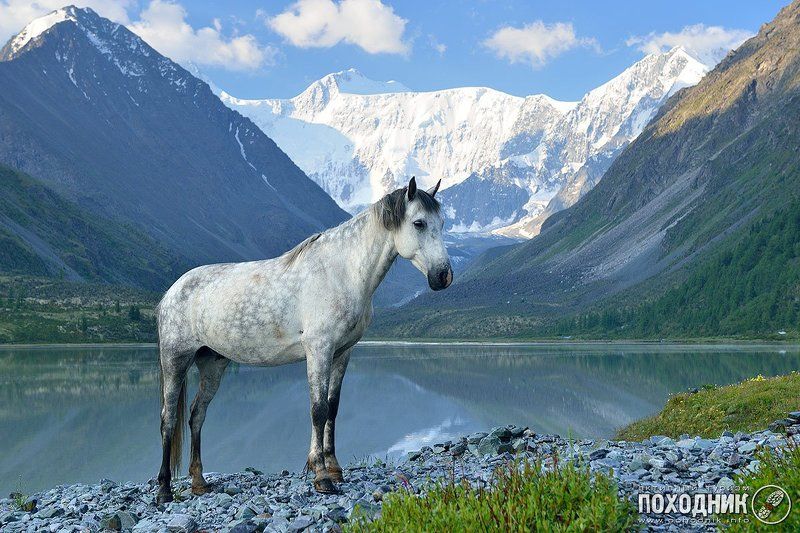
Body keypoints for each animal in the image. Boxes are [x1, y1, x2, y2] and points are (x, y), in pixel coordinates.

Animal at [155, 177, 452, 503]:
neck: (341, 272)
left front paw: (334, 468)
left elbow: (332, 407)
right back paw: (164, 490)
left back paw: (199, 482)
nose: (443, 276)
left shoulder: (342, 353)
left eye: (442, 222)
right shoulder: (319, 349)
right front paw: (321, 476)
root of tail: (172, 291)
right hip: (176, 359)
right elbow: (318, 410)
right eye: (419, 223)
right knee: (169, 418)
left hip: (212, 363)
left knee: (197, 415)